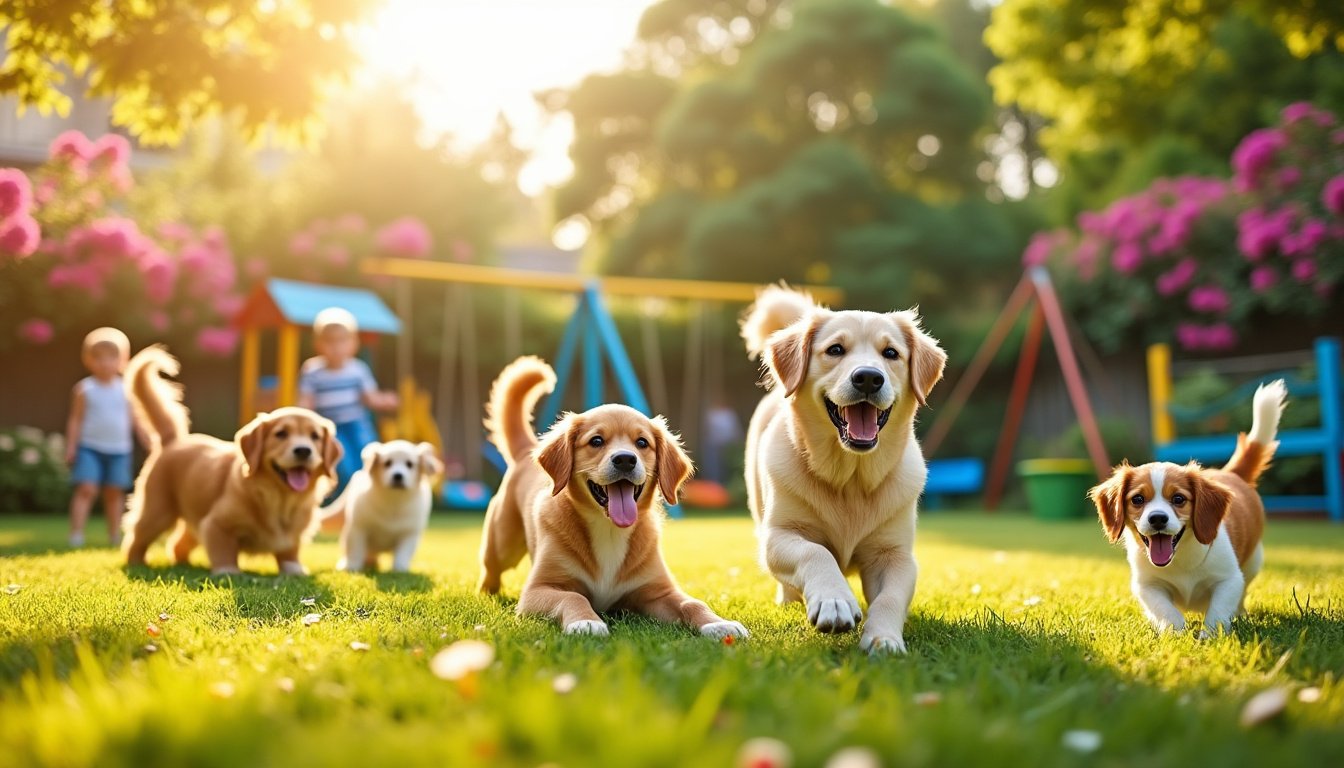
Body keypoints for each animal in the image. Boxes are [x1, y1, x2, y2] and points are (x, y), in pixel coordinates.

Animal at [122, 344, 341, 572]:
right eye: (281, 434)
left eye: (315, 436)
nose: (303, 450)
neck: (279, 499)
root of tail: (173, 440)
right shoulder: (215, 525)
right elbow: (224, 551)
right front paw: (228, 571)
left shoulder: (292, 536)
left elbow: (289, 553)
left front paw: (294, 570)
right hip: (157, 511)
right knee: (136, 538)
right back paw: (136, 562)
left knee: (177, 543)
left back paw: (183, 564)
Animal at [314, 438, 440, 570]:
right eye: (387, 463)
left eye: (409, 464)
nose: (398, 476)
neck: (394, 501)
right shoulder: (358, 529)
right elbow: (355, 550)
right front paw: (351, 565)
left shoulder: (409, 534)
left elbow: (402, 555)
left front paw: (400, 569)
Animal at [475, 357, 752, 640]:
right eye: (596, 441)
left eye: (642, 443)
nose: (625, 459)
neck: (608, 529)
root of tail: (526, 451)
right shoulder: (538, 589)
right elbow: (573, 597)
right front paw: (586, 621)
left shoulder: (659, 592)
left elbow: (693, 603)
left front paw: (717, 623)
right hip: (502, 545)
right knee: (490, 573)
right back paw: (486, 594)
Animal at [741, 283, 951, 656]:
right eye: (835, 349)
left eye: (891, 353)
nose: (868, 378)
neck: (851, 479)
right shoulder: (779, 535)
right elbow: (816, 551)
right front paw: (834, 600)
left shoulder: (895, 554)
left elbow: (890, 598)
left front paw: (884, 638)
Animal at [1085, 379, 1284, 637]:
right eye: (1138, 499)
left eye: (1178, 499)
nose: (1157, 519)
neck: (1179, 559)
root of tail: (1230, 473)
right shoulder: (1147, 585)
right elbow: (1167, 612)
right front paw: (1176, 633)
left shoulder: (1229, 580)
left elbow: (1218, 612)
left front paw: (1210, 638)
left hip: (1253, 562)